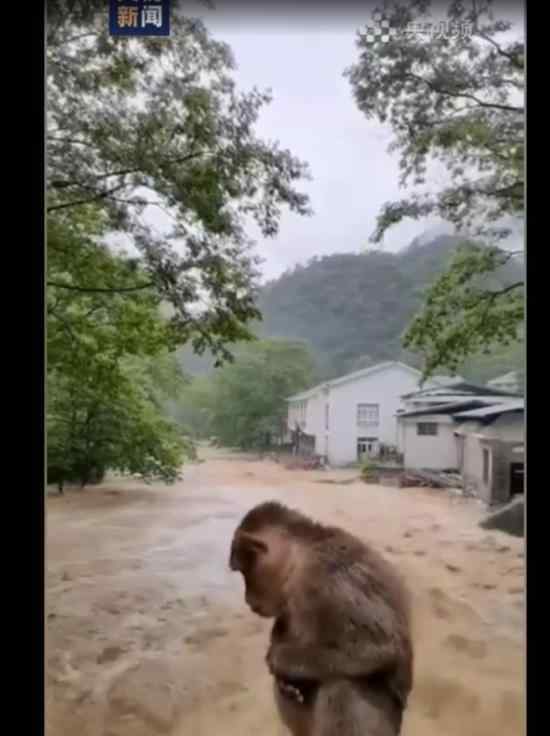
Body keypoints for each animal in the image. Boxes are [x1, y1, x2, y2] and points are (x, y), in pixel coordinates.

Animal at [229, 504, 414, 732]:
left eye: (245, 572)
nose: (247, 599)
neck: (302, 556)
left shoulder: (328, 579)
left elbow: (382, 646)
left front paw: (280, 658)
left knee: (343, 684)